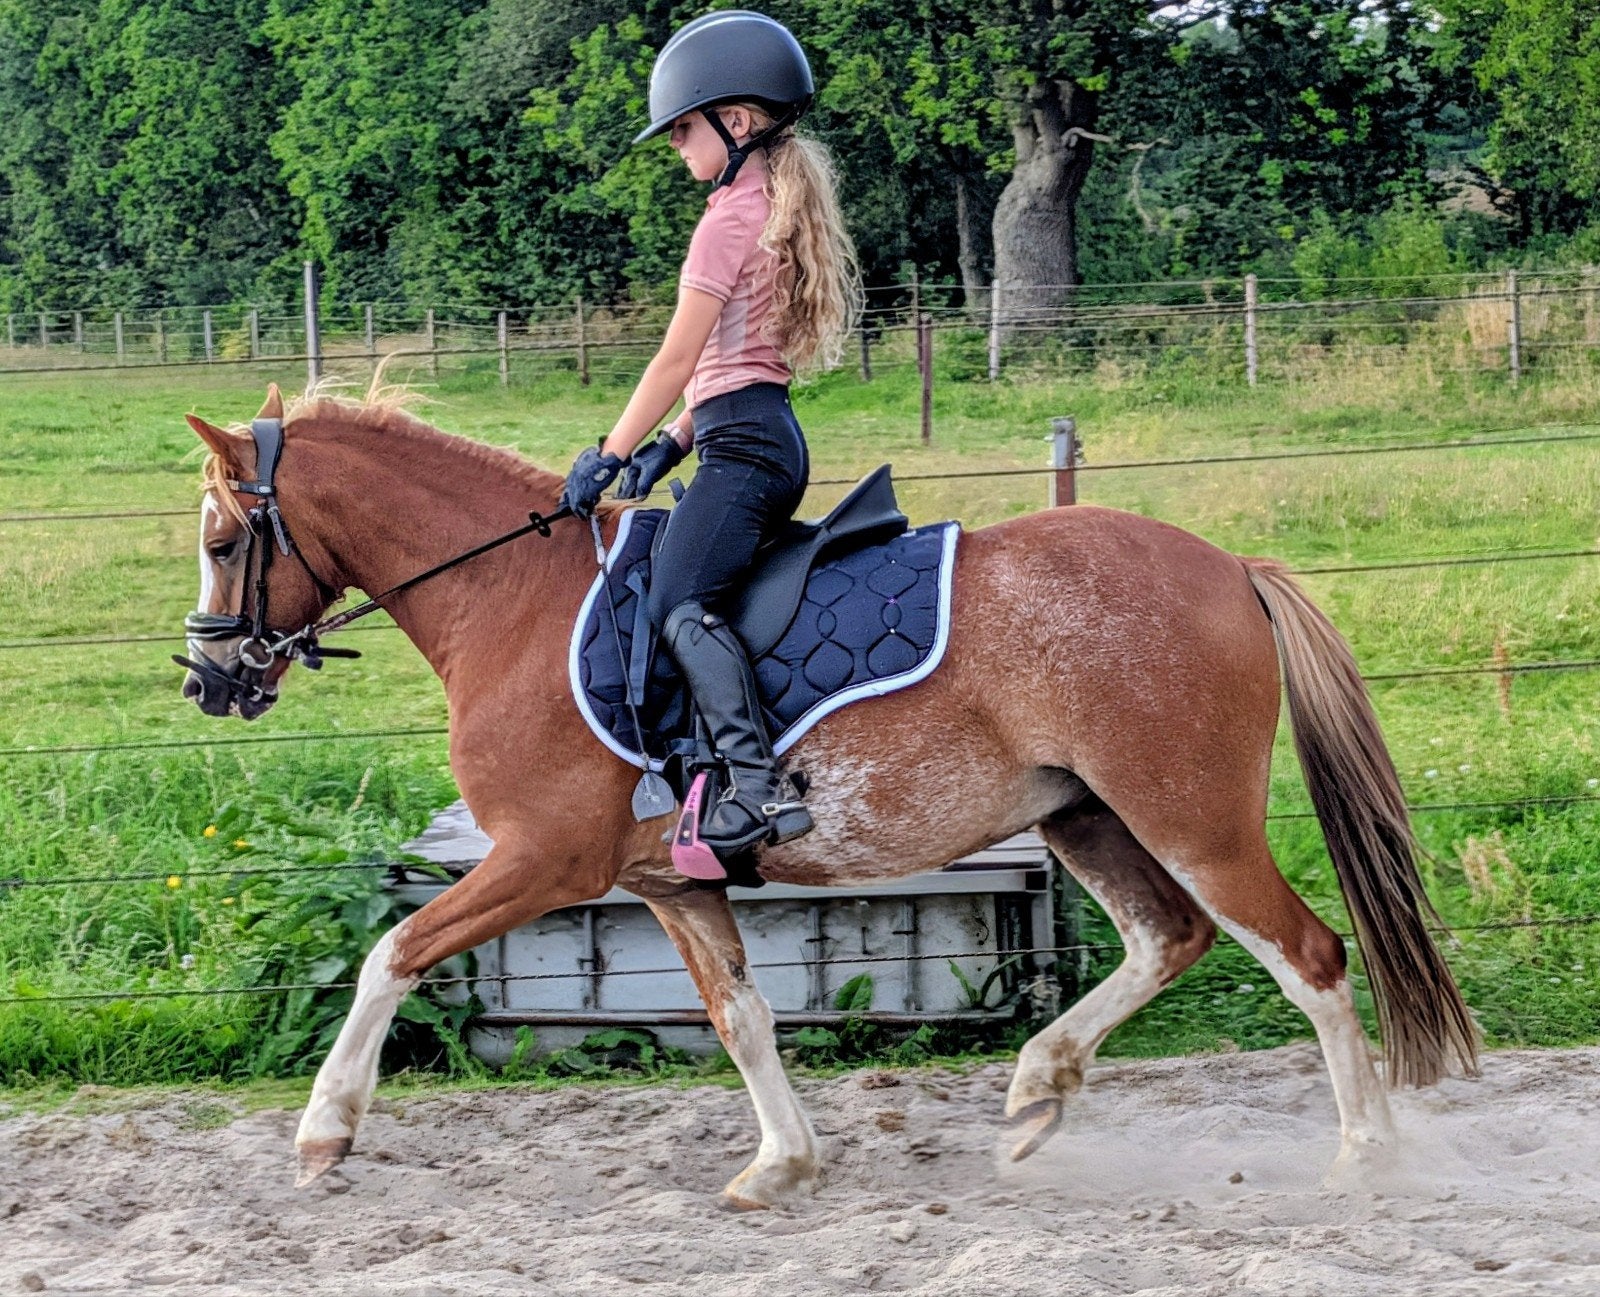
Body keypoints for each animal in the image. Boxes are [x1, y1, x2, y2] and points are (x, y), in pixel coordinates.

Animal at [178, 383, 1478, 1209]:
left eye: (227, 538)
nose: (207, 680)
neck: (515, 601)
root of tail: (1226, 565)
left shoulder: (546, 859)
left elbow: (392, 952)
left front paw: (324, 1132)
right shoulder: (668, 882)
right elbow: (741, 1018)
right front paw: (783, 1166)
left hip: (1188, 815)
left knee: (1306, 955)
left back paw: (1364, 1158)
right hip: (1084, 815)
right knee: (1172, 939)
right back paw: (1034, 1090)